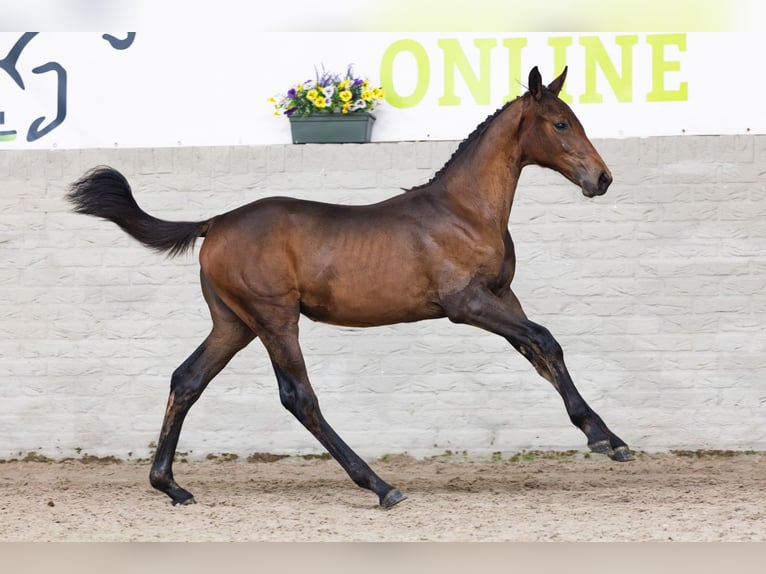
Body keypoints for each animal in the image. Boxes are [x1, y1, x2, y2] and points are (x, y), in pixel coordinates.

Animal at [66, 66, 632, 509]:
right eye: (560, 123)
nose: (602, 179)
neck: (465, 210)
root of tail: (214, 223)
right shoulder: (466, 303)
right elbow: (543, 339)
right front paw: (604, 438)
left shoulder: (502, 296)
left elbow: (541, 353)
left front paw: (606, 436)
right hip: (274, 318)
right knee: (298, 396)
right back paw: (380, 485)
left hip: (234, 323)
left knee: (187, 379)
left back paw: (171, 486)